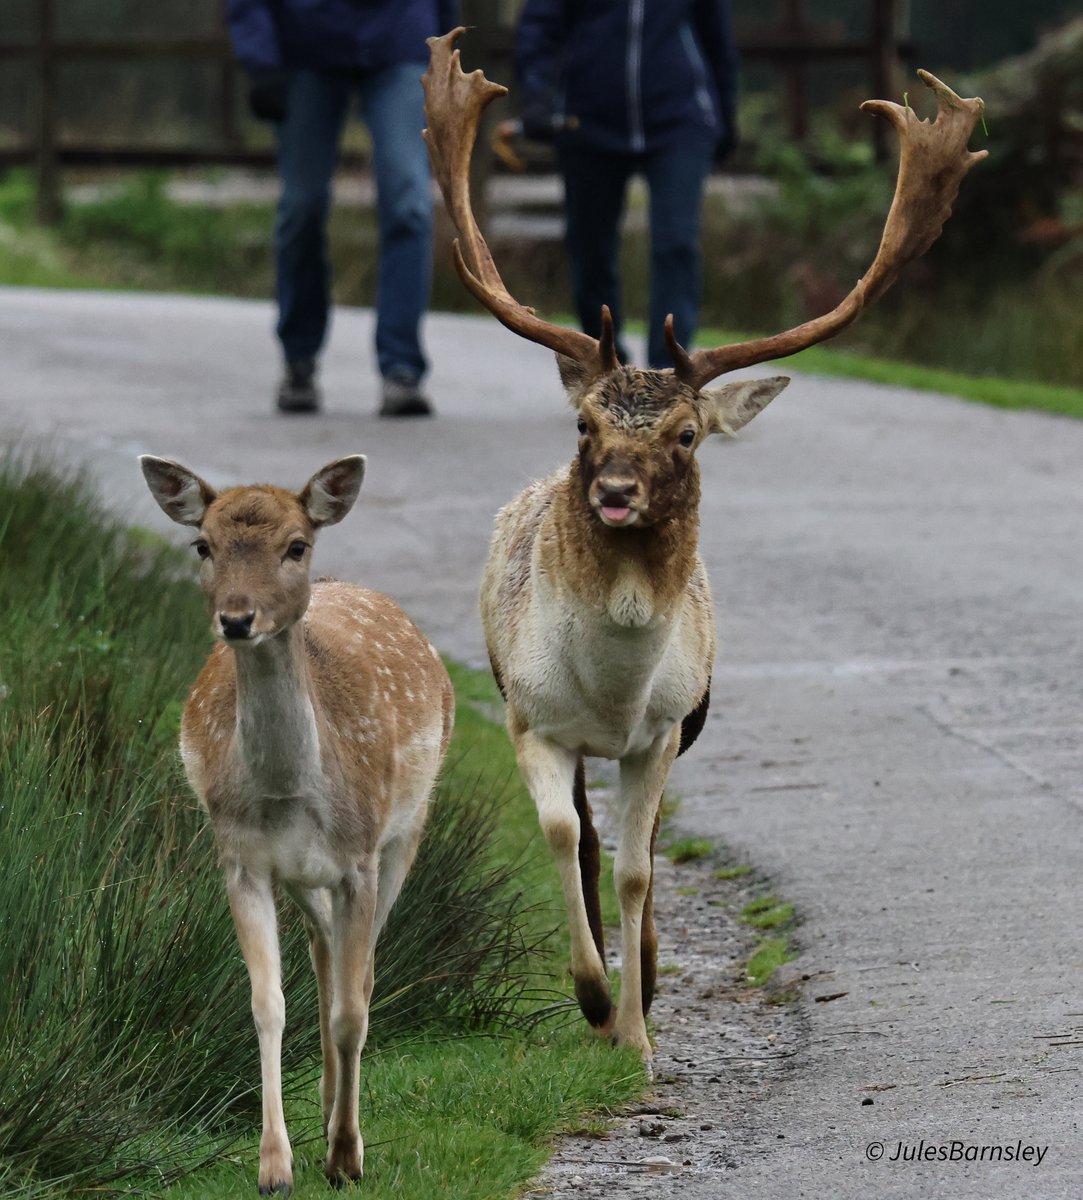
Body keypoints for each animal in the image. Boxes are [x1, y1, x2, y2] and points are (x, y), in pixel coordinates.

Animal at [140, 454, 454, 1195]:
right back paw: (327, 1097)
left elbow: (354, 1006)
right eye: (204, 545)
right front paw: (275, 1165)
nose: (236, 618)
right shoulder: (241, 861)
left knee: (357, 976)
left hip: (405, 832)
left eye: (295, 546)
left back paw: (342, 1119)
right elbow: (267, 1002)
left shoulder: (359, 860)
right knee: (323, 956)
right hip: (304, 877)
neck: (287, 790)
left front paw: (346, 1156)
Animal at [422, 28, 985, 1060]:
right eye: (585, 426)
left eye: (685, 436)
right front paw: (592, 996)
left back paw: (642, 976)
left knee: (636, 852)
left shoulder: (663, 728)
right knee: (589, 834)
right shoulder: (529, 716)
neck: (609, 692)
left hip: (690, 722)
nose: (611, 494)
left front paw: (638, 1028)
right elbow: (565, 838)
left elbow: (643, 869)